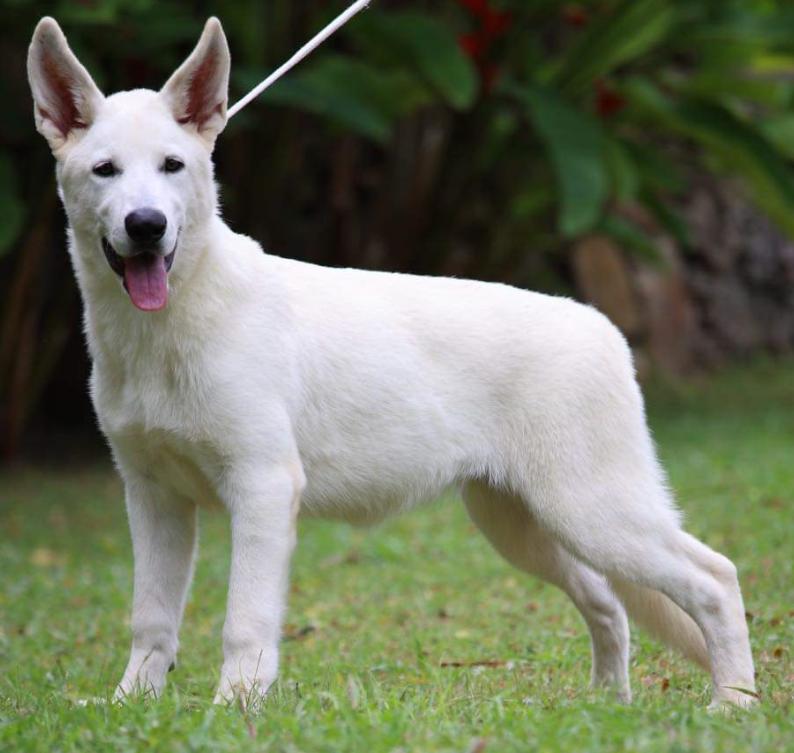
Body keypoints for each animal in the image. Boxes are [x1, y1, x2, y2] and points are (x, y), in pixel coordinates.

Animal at [26, 19, 756, 712]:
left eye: (173, 165)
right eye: (105, 171)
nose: (146, 226)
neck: (170, 328)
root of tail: (602, 327)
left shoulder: (262, 489)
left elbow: (244, 621)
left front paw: (233, 708)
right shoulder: (154, 497)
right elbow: (151, 620)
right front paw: (131, 707)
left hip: (592, 512)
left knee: (715, 578)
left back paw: (732, 703)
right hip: (525, 525)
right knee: (608, 602)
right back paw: (610, 703)